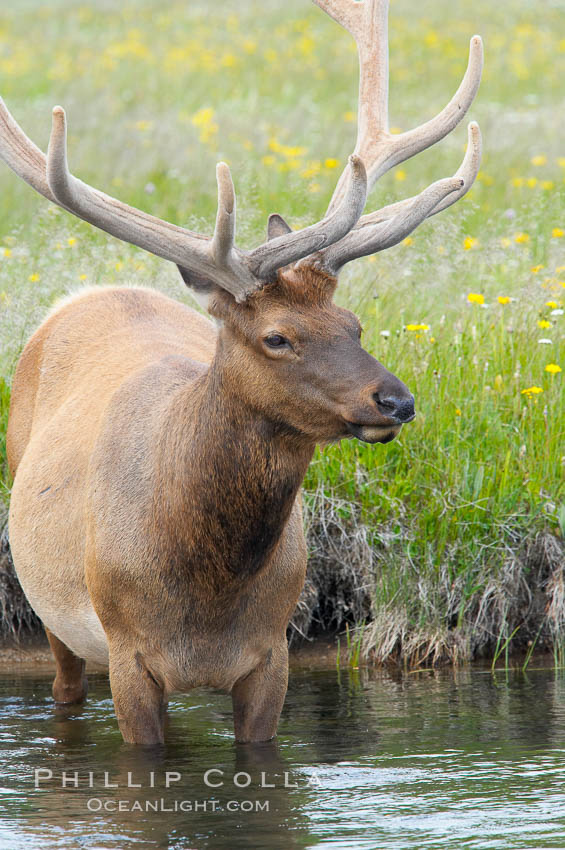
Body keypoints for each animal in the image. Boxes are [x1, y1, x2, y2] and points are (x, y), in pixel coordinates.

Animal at [1, 0, 480, 740]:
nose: (396, 401)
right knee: (64, 689)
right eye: (277, 337)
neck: (206, 594)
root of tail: (88, 293)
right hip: (51, 610)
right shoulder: (127, 654)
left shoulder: (271, 654)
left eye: (354, 324)